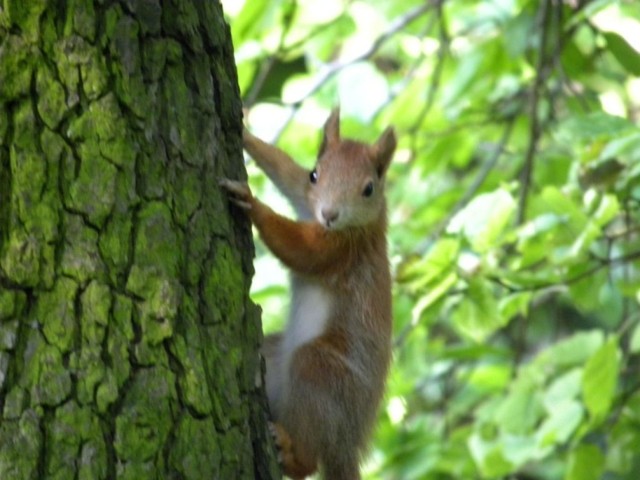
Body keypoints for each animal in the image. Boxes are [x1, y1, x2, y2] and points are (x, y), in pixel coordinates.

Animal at [222, 109, 398, 480]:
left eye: (369, 189)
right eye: (315, 174)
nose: (329, 215)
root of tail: (347, 443)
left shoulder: (343, 250)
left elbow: (301, 250)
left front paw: (252, 204)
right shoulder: (303, 195)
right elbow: (283, 169)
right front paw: (245, 132)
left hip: (322, 374)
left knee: (309, 462)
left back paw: (292, 454)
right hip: (275, 358)